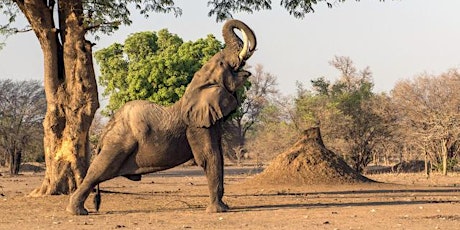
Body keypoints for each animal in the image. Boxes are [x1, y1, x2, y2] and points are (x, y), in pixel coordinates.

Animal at [66, 19, 256, 216]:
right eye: (222, 64)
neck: (197, 85)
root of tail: (106, 129)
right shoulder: (196, 125)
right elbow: (209, 156)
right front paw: (218, 211)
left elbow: (217, 154)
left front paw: (223, 207)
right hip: (118, 143)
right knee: (99, 169)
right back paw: (77, 211)